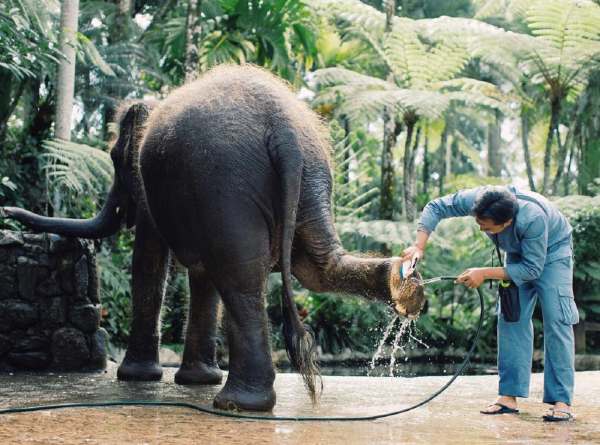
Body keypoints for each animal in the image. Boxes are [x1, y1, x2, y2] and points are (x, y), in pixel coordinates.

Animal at [3, 64, 426, 412]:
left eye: (113, 159)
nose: (8, 212)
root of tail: (284, 130)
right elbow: (200, 273)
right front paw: (195, 381)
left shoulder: (152, 187)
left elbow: (150, 263)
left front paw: (137, 378)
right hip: (311, 177)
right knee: (315, 267)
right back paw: (404, 283)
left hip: (226, 184)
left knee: (240, 279)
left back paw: (236, 404)